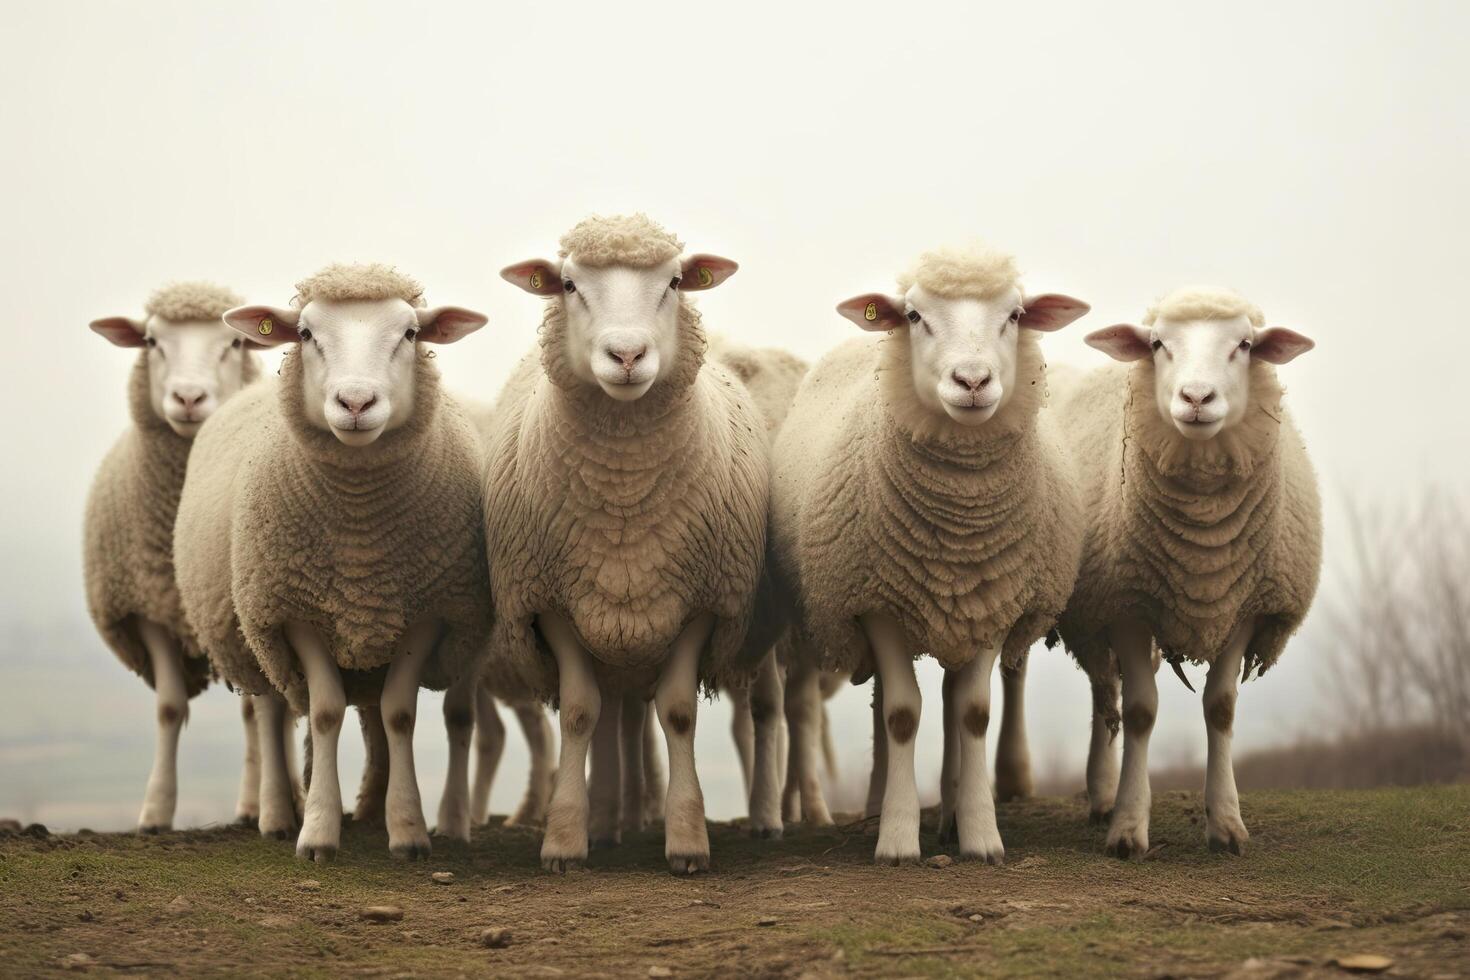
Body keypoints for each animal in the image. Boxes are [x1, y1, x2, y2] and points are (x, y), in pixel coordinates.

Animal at [83, 279, 274, 834]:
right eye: (151, 341)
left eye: (233, 343)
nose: (188, 397)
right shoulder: (148, 607)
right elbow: (168, 708)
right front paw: (155, 813)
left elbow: (256, 708)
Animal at [174, 264, 490, 863]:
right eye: (305, 334)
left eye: (410, 334)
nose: (356, 402)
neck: (359, 537)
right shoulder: (295, 611)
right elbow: (323, 712)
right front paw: (318, 831)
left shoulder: (426, 611)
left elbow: (398, 713)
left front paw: (407, 830)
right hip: (257, 630)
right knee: (271, 710)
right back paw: (277, 814)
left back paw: (374, 809)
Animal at [493, 214, 770, 875]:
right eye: (568, 284)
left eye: (674, 281)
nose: (626, 355)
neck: (623, 501)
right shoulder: (551, 602)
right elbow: (578, 712)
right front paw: (565, 840)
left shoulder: (700, 600)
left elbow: (677, 712)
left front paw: (687, 839)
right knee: (610, 715)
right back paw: (605, 821)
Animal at [776, 246, 1087, 863]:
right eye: (915, 316)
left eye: (1016, 315)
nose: (972, 380)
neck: (959, 529)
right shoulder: (876, 603)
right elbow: (900, 715)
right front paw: (896, 838)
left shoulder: (995, 598)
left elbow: (972, 714)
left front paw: (981, 835)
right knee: (888, 707)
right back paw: (881, 807)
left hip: (955, 615)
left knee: (948, 701)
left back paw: (948, 814)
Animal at [1052, 285, 1328, 858]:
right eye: (1158, 344)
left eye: (1245, 345)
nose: (1197, 398)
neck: (1204, 551)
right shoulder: (1126, 606)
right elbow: (1140, 711)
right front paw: (1128, 828)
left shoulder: (1243, 605)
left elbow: (1220, 708)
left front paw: (1226, 824)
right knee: (1105, 692)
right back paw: (1104, 795)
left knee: (1104, 692)